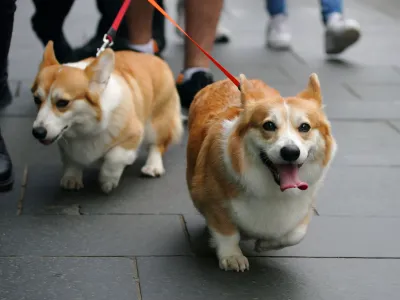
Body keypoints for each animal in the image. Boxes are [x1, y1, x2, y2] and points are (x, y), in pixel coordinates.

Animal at [30, 41, 183, 193]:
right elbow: (71, 160)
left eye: (62, 103)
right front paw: (71, 178)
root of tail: (156, 59)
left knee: (157, 145)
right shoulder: (66, 145)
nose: (37, 132)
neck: (84, 129)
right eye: (36, 99)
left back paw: (153, 167)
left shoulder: (133, 133)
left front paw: (107, 180)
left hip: (156, 124)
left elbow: (115, 157)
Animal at [186, 72, 336, 272]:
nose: (290, 152)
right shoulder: (211, 199)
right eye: (269, 125)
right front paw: (232, 257)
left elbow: (296, 234)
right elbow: (227, 232)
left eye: (305, 127)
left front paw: (265, 244)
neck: (273, 189)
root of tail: (221, 82)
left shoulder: (304, 206)